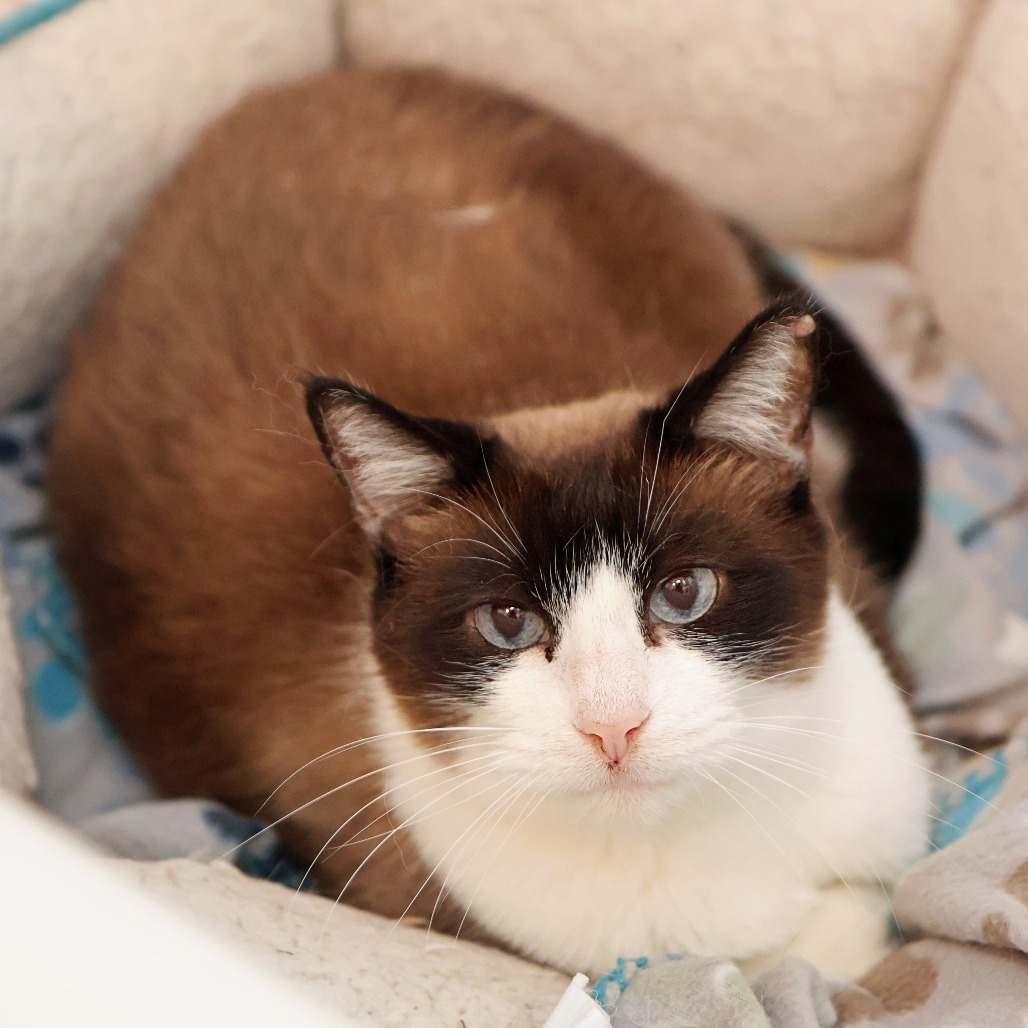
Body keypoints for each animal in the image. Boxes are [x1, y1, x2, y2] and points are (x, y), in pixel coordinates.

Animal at [48, 64, 933, 978]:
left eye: (684, 594)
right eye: (508, 623)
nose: (613, 727)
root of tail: (297, 88)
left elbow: (851, 926)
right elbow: (812, 954)